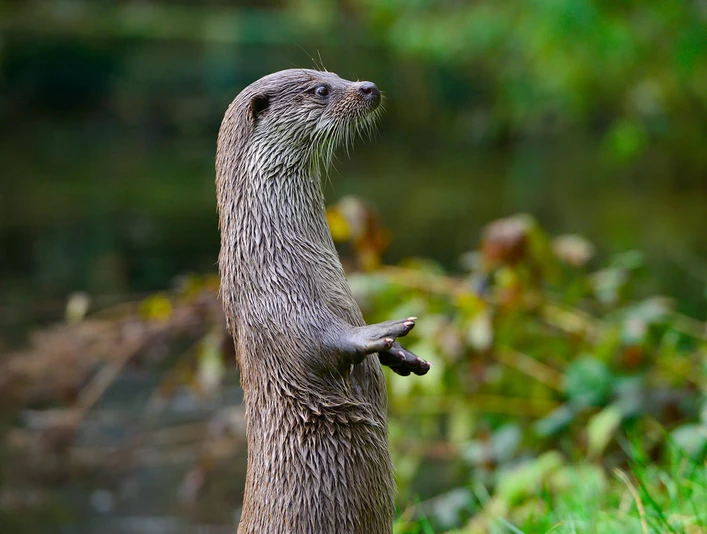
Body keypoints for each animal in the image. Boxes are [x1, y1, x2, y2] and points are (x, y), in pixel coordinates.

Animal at [215, 69, 430, 534]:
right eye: (320, 89)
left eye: (335, 74)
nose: (368, 87)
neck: (275, 252)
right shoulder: (271, 301)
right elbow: (316, 344)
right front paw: (380, 331)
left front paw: (403, 357)